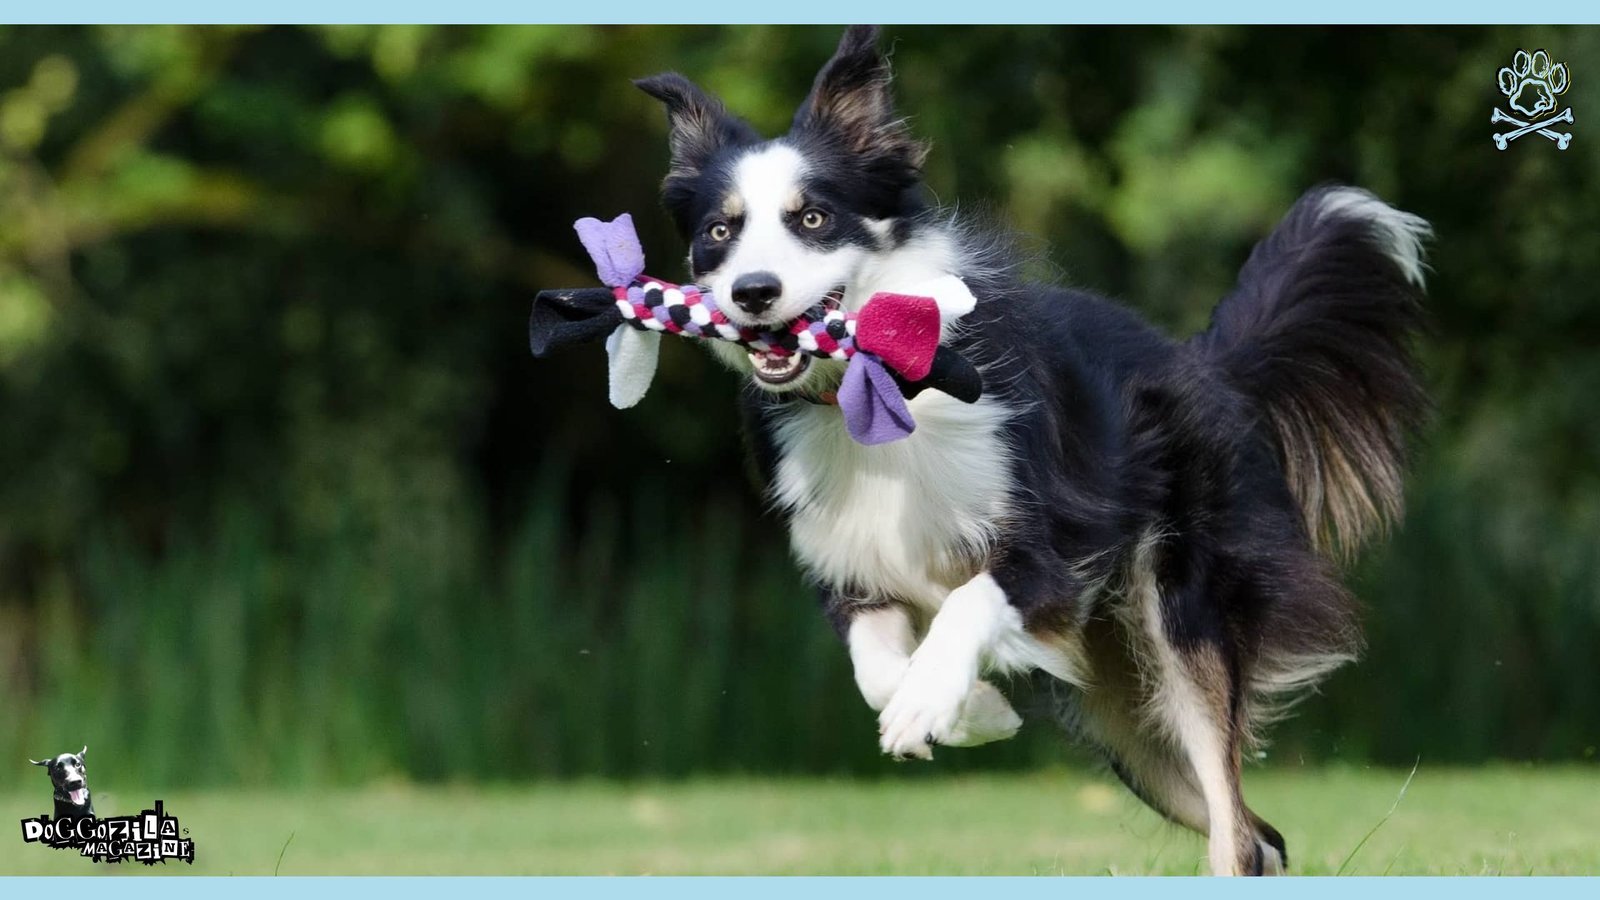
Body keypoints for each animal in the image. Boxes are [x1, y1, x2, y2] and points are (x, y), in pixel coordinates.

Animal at [630, 24, 1433, 871]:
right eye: (720, 232)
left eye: (813, 219)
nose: (752, 292)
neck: (873, 390)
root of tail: (1202, 363)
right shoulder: (853, 568)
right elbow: (875, 669)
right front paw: (970, 710)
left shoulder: (1054, 547)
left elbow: (968, 602)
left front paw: (932, 702)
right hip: (1124, 712)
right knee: (1259, 835)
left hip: (1179, 619)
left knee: (1236, 826)